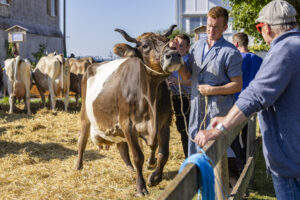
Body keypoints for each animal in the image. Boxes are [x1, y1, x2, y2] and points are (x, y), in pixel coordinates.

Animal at [76, 24, 182, 195]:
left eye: (167, 41)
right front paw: (141, 187)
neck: (150, 93)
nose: (173, 55)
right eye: (145, 46)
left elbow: (163, 153)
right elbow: (138, 156)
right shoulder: (128, 124)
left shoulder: (164, 123)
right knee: (82, 140)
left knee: (122, 147)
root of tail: (93, 64)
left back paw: (130, 168)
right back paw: (78, 166)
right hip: (85, 115)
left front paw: (155, 178)